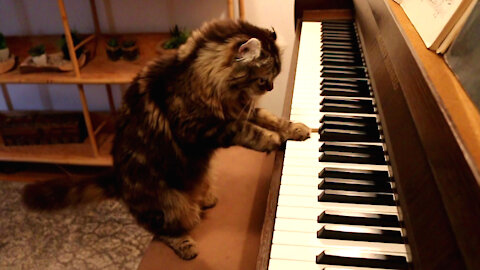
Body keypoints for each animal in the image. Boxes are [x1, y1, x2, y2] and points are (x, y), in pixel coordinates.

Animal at [22, 19, 310, 260]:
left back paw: (206, 198)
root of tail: (117, 180)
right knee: (159, 229)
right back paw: (185, 243)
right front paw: (271, 139)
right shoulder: (200, 128)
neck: (201, 78)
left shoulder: (241, 108)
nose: (271, 87)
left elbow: (272, 118)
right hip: (169, 204)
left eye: (272, 79)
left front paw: (296, 129)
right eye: (264, 79)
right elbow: (246, 129)